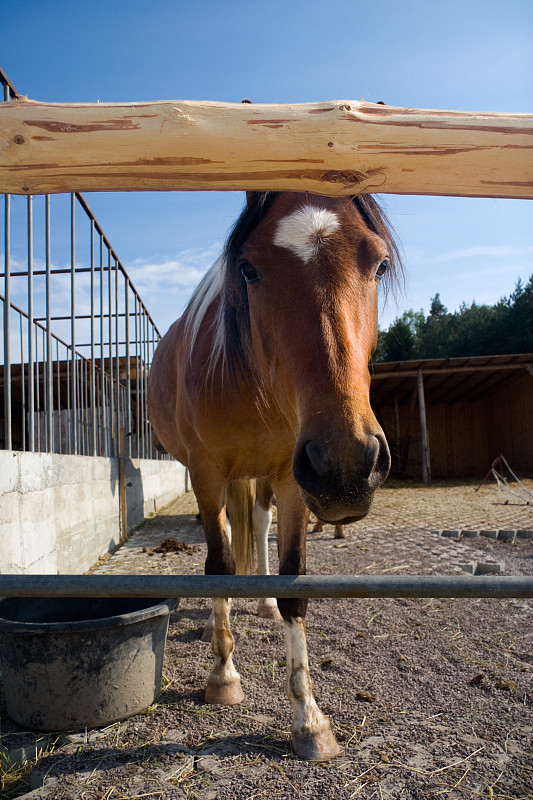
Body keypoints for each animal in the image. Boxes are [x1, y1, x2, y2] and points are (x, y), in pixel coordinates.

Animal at [145, 189, 400, 764]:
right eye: (248, 269)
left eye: (378, 263)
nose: (347, 463)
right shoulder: (206, 473)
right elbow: (218, 565)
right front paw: (223, 677)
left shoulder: (292, 479)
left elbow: (292, 589)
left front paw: (310, 721)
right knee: (229, 536)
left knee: (256, 525)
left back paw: (257, 602)